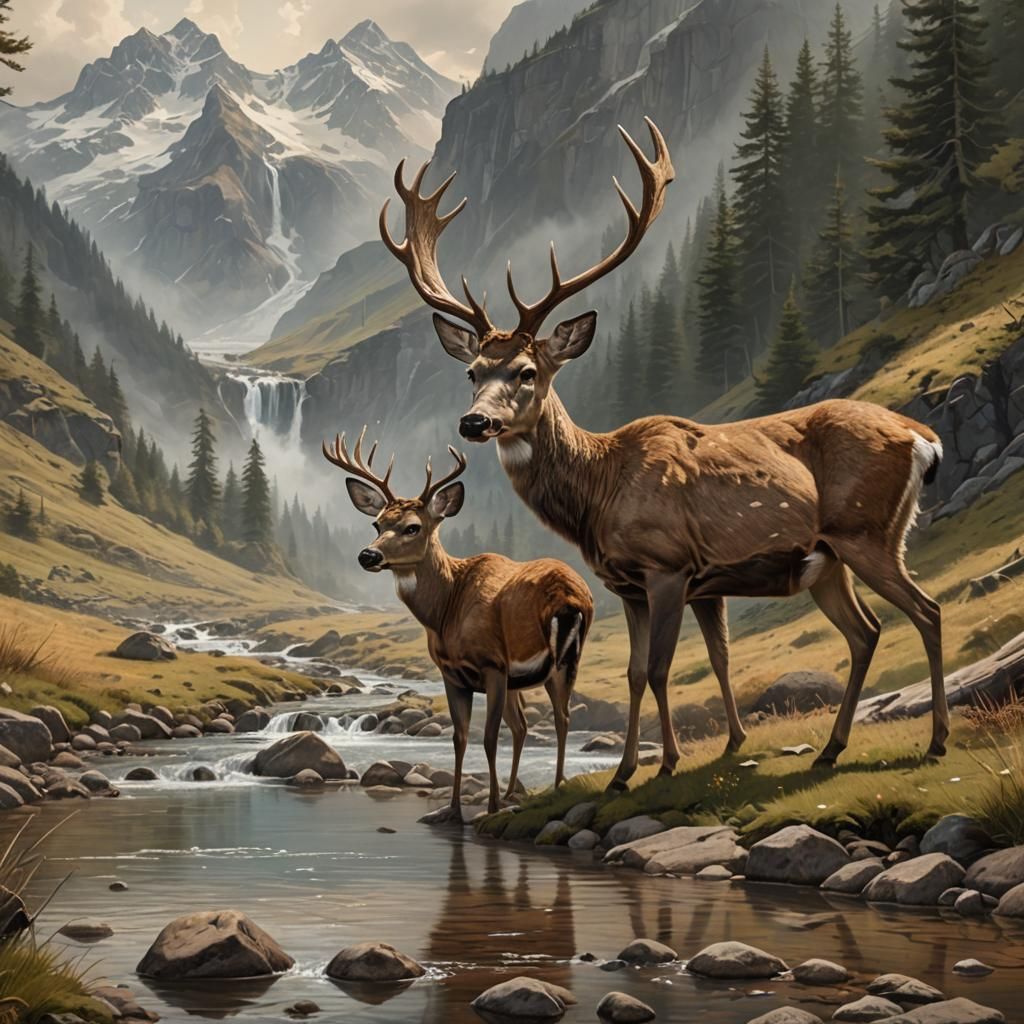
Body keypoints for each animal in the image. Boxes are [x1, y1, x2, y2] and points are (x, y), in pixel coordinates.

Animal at [323, 428, 594, 821]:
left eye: (412, 527)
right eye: (377, 524)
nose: (368, 555)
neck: (446, 611)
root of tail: (573, 595)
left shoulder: (493, 664)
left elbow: (489, 738)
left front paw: (491, 807)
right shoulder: (452, 673)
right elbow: (460, 738)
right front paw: (452, 810)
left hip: (563, 659)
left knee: (562, 718)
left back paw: (554, 787)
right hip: (525, 676)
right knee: (523, 725)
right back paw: (514, 792)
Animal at [378, 117, 950, 791]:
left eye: (526, 371)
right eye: (471, 372)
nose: (474, 422)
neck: (600, 490)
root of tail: (924, 438)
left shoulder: (671, 565)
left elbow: (658, 669)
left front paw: (666, 763)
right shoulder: (627, 585)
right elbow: (634, 672)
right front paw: (627, 770)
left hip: (868, 531)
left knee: (927, 611)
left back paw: (937, 740)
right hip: (831, 559)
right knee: (867, 632)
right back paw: (832, 748)